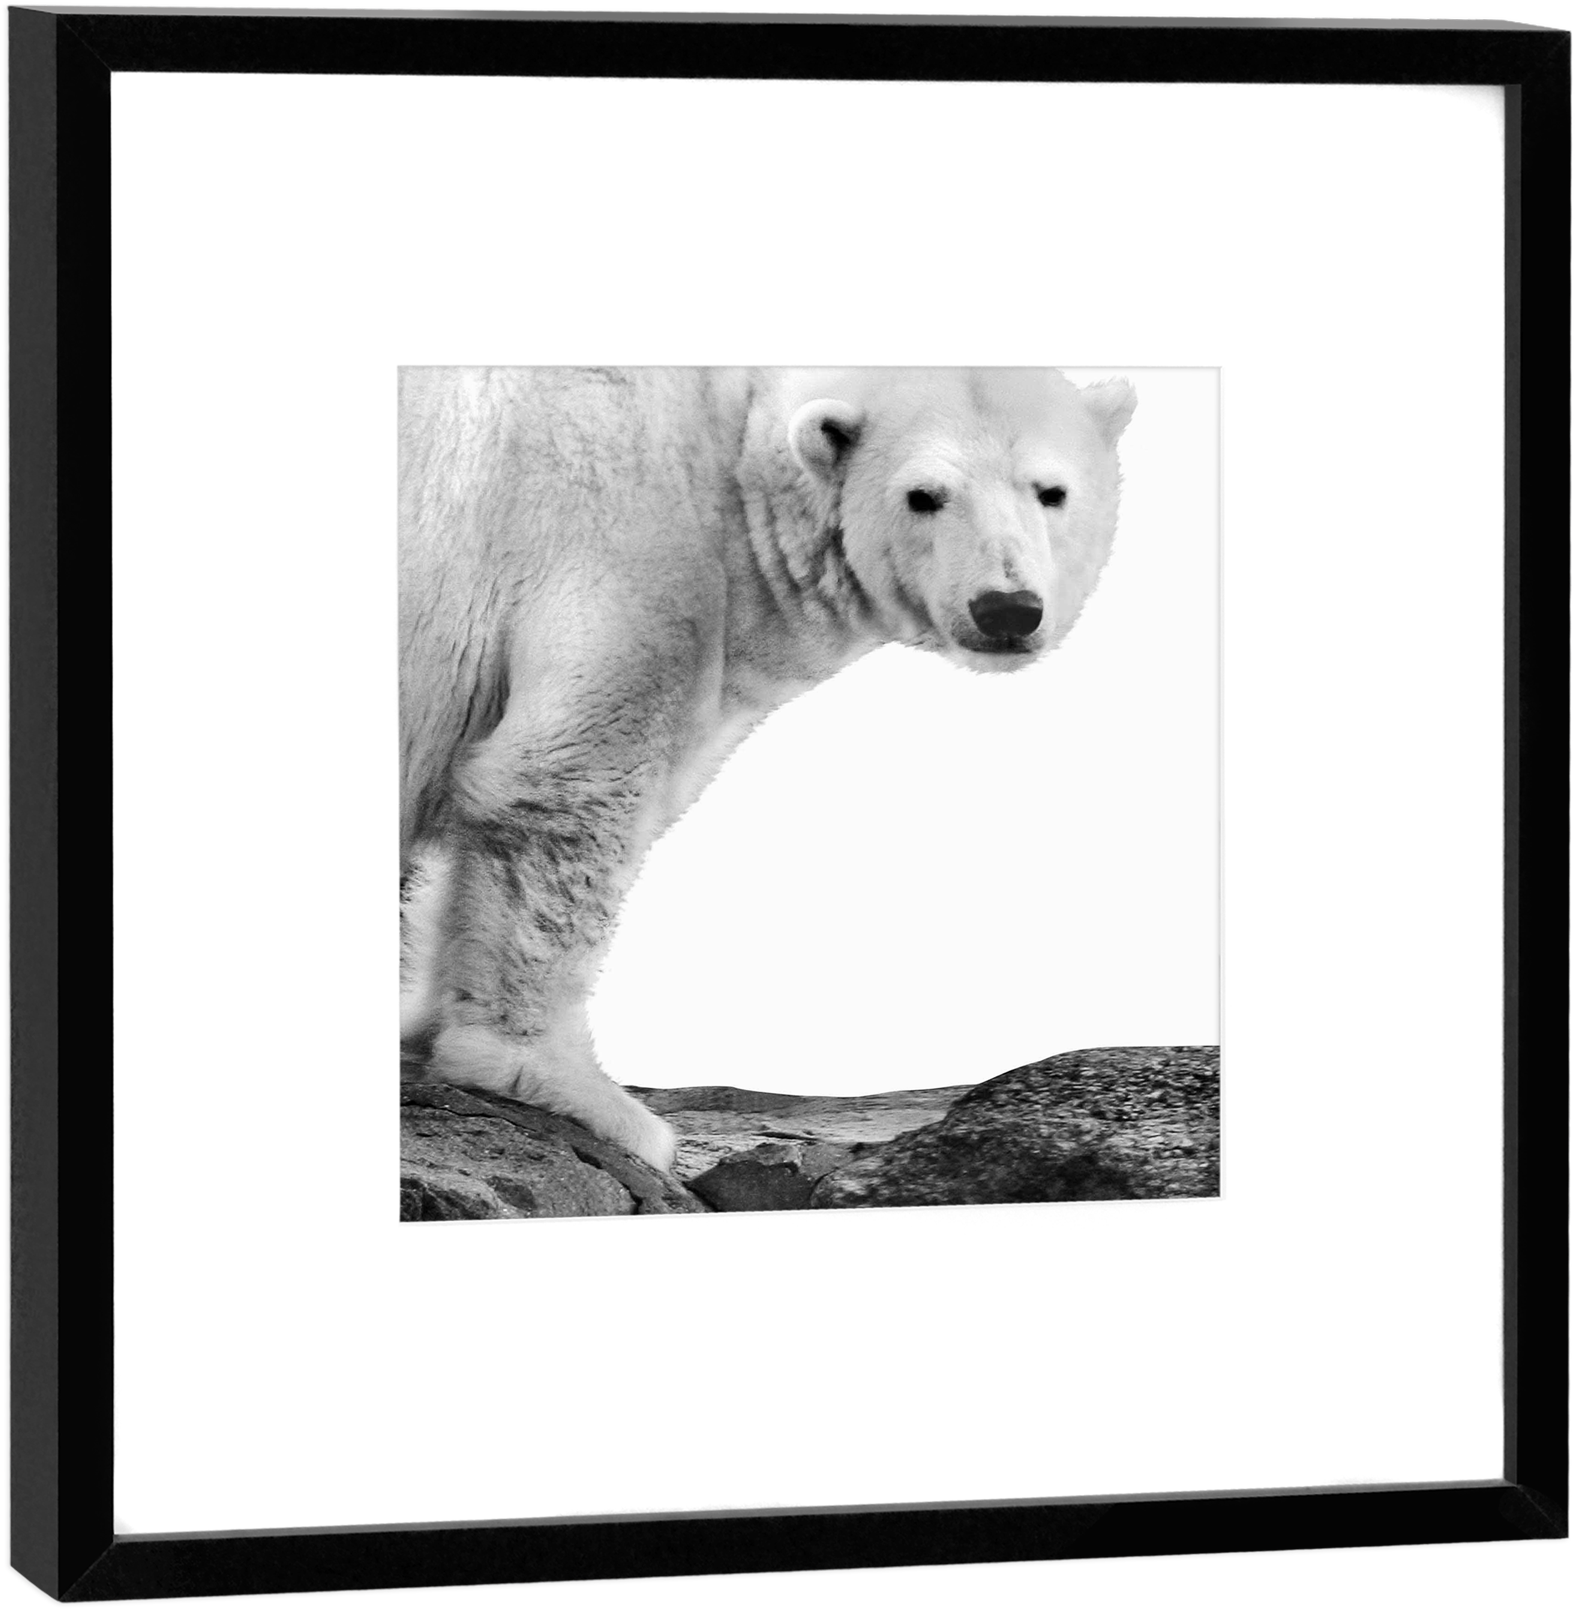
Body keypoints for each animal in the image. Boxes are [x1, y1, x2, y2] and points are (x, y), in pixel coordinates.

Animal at [399, 367, 1137, 1173]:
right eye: (923, 495)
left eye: (1050, 490)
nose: (1006, 607)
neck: (725, 443)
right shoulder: (622, 550)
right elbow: (565, 785)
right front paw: (572, 1087)